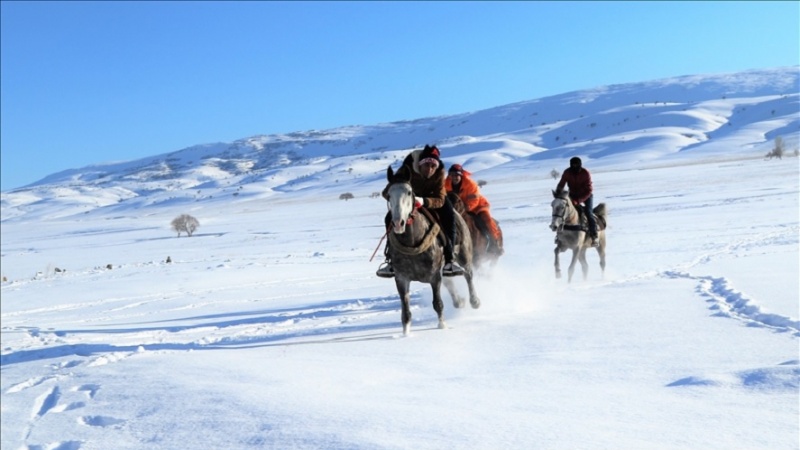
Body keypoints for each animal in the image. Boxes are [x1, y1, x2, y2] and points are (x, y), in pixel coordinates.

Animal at [388, 165, 482, 334]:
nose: (398, 223)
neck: (413, 242)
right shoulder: (401, 278)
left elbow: (437, 303)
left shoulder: (434, 275)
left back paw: (474, 301)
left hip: (464, 255)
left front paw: (442, 325)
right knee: (450, 282)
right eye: (389, 194)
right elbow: (405, 310)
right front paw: (406, 333)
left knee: (468, 274)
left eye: (409, 192)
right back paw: (460, 301)